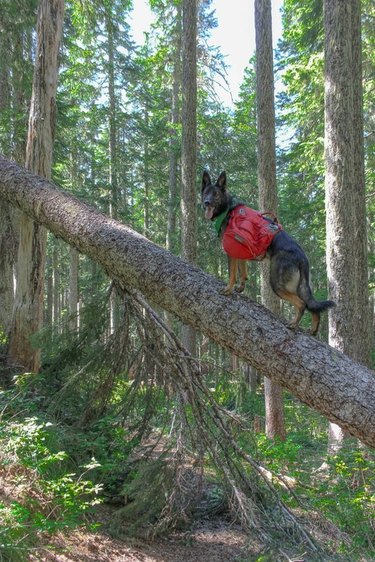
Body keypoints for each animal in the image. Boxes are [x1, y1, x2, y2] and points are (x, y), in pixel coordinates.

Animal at [201, 170, 336, 332]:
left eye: (215, 194)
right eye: (206, 193)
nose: (206, 202)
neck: (228, 209)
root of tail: (301, 256)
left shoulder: (231, 253)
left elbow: (232, 274)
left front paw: (228, 289)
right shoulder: (240, 255)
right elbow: (243, 272)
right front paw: (241, 287)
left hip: (277, 283)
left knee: (302, 304)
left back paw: (293, 324)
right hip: (300, 286)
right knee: (312, 306)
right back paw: (313, 330)